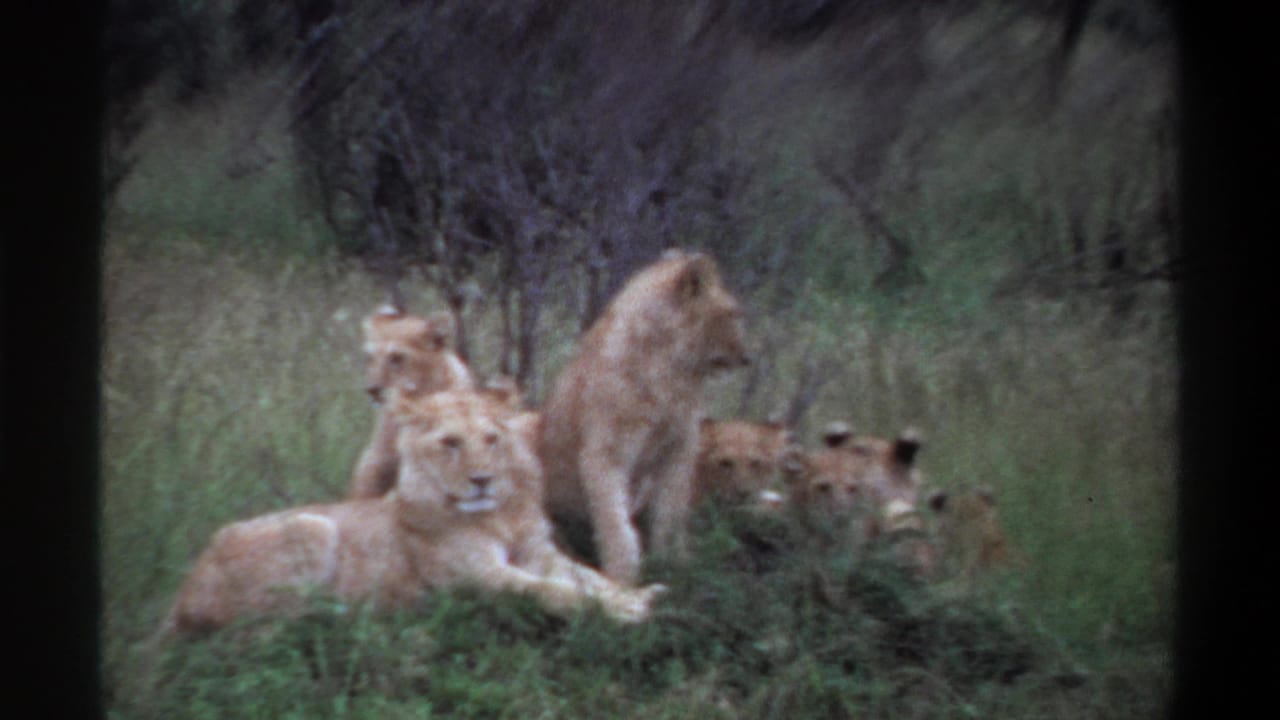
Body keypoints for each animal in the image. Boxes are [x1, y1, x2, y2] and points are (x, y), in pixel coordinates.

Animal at [160, 390, 664, 636]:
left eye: (491, 439)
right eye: (450, 442)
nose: (482, 479)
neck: (498, 515)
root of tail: (181, 595)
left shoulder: (538, 552)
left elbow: (588, 577)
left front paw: (638, 594)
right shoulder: (475, 576)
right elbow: (552, 591)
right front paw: (627, 610)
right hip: (310, 526)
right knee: (267, 625)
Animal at [538, 251, 750, 584]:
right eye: (732, 314)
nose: (746, 357)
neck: (672, 374)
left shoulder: (680, 449)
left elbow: (670, 512)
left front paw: (673, 563)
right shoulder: (606, 452)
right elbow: (615, 521)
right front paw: (623, 576)